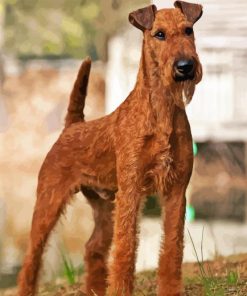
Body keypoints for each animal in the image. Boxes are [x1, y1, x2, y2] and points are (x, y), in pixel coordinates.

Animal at [17, 1, 203, 294]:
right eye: (159, 34)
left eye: (188, 30)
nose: (186, 66)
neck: (161, 111)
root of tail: (71, 126)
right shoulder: (131, 191)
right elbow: (125, 250)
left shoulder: (176, 191)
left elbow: (172, 250)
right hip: (48, 202)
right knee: (31, 260)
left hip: (103, 206)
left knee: (93, 248)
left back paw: (94, 289)